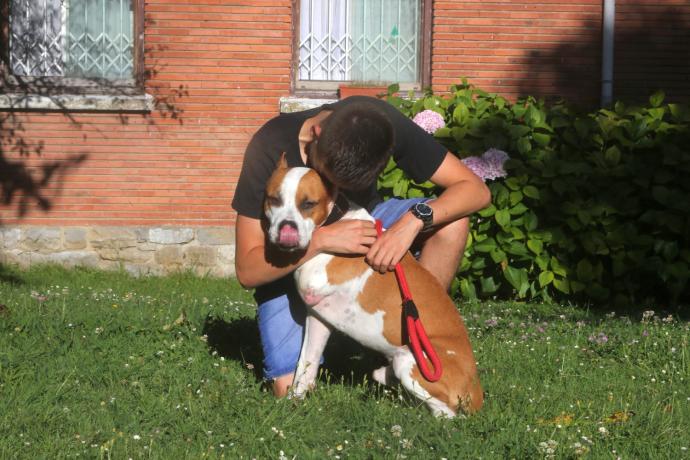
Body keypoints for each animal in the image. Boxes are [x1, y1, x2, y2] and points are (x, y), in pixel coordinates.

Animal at [260, 155, 482, 416]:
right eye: (274, 199)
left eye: (308, 204)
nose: (287, 229)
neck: (336, 217)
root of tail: (476, 390)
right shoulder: (317, 318)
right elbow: (306, 364)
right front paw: (295, 401)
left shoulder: (316, 286)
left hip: (413, 362)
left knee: (446, 413)